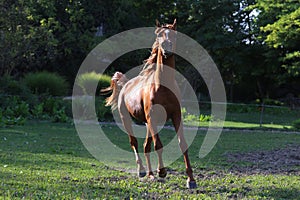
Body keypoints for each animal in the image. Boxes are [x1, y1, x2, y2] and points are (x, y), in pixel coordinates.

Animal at [102, 19, 198, 188]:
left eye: (174, 34)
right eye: (159, 35)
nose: (166, 47)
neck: (163, 86)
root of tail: (125, 84)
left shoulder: (176, 116)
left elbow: (182, 144)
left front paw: (191, 180)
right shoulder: (152, 117)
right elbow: (158, 144)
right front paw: (162, 171)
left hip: (147, 123)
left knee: (146, 146)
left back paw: (150, 174)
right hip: (128, 118)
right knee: (134, 142)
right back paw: (142, 171)